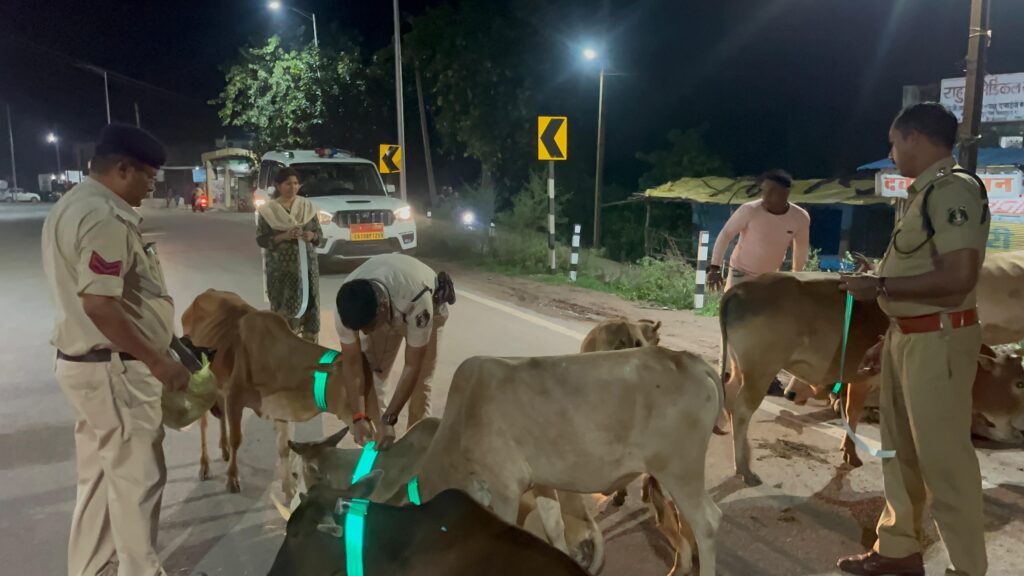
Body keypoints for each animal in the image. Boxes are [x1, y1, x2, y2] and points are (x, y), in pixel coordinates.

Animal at [181, 289, 381, 498]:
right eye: (353, 388)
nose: (369, 435)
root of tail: (206, 293)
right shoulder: (235, 397)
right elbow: (237, 439)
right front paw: (232, 479)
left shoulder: (281, 408)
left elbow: (284, 447)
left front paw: (288, 486)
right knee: (203, 424)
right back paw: (205, 466)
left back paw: (224, 449)